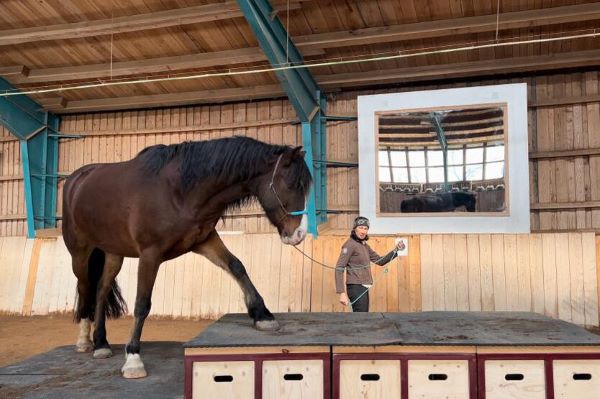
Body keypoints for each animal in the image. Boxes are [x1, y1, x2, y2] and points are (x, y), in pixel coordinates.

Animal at [62, 137, 312, 378]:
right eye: (293, 184)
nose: (299, 234)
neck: (178, 191)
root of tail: (76, 180)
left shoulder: (204, 241)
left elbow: (236, 266)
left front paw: (262, 315)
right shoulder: (150, 254)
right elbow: (142, 303)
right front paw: (133, 358)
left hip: (114, 252)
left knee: (101, 289)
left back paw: (101, 343)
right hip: (80, 253)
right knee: (85, 287)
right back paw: (84, 341)